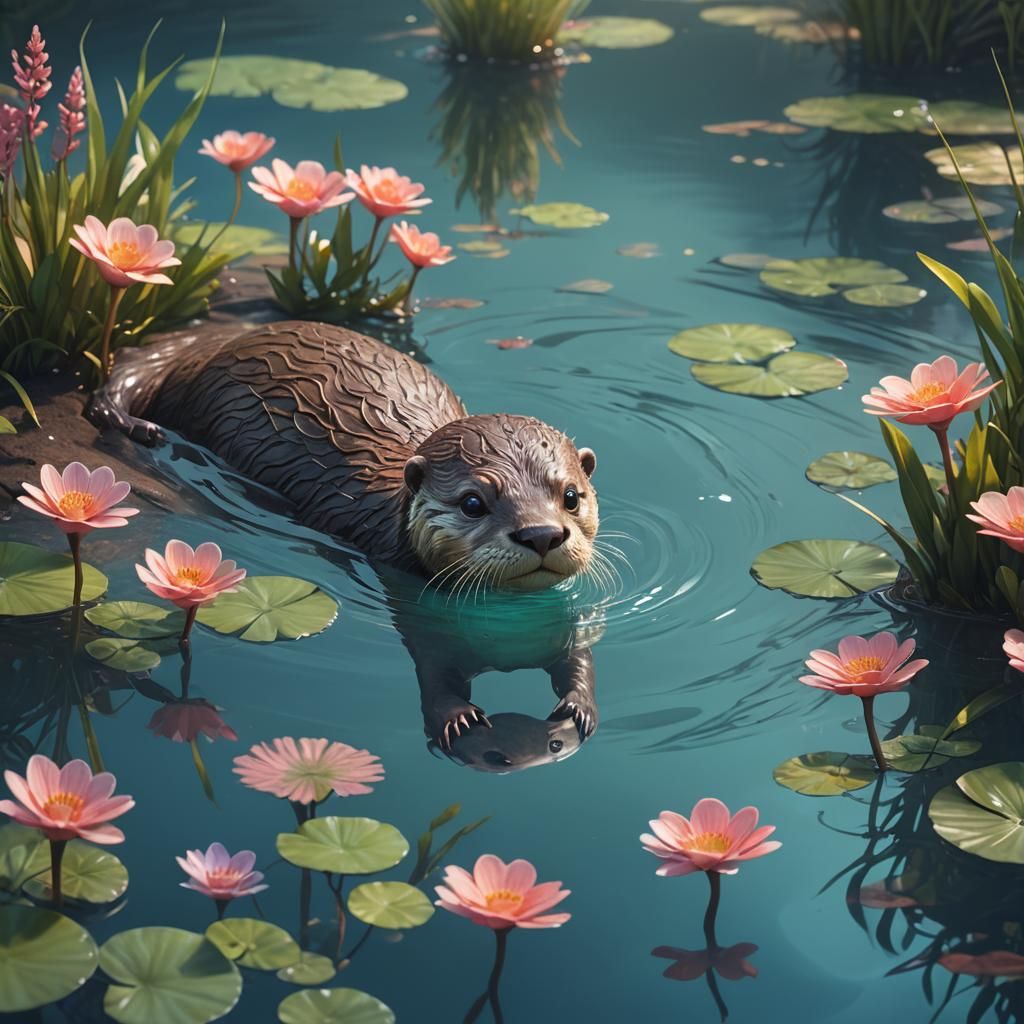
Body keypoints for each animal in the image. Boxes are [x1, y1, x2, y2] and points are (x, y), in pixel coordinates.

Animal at [86, 320, 602, 749]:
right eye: (473, 502)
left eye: (570, 496)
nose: (540, 534)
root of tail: (208, 347)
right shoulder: (404, 591)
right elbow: (433, 660)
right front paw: (457, 717)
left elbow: (577, 653)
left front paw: (580, 704)